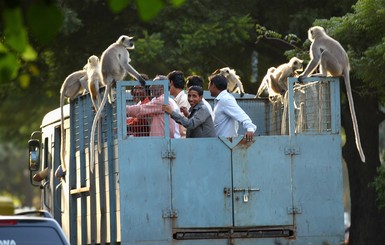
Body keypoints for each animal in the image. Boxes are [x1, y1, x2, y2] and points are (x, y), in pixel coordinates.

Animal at [89, 35, 146, 172]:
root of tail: (109, 78)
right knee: (124, 66)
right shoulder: (124, 51)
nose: (132, 43)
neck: (118, 44)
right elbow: (125, 63)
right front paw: (140, 78)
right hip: (119, 73)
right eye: (130, 40)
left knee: (110, 87)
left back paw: (111, 98)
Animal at [298, 26, 364, 163]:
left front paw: (303, 75)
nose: (309, 35)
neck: (322, 36)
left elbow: (316, 59)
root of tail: (345, 67)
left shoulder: (315, 44)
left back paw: (323, 75)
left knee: (324, 55)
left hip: (335, 67)